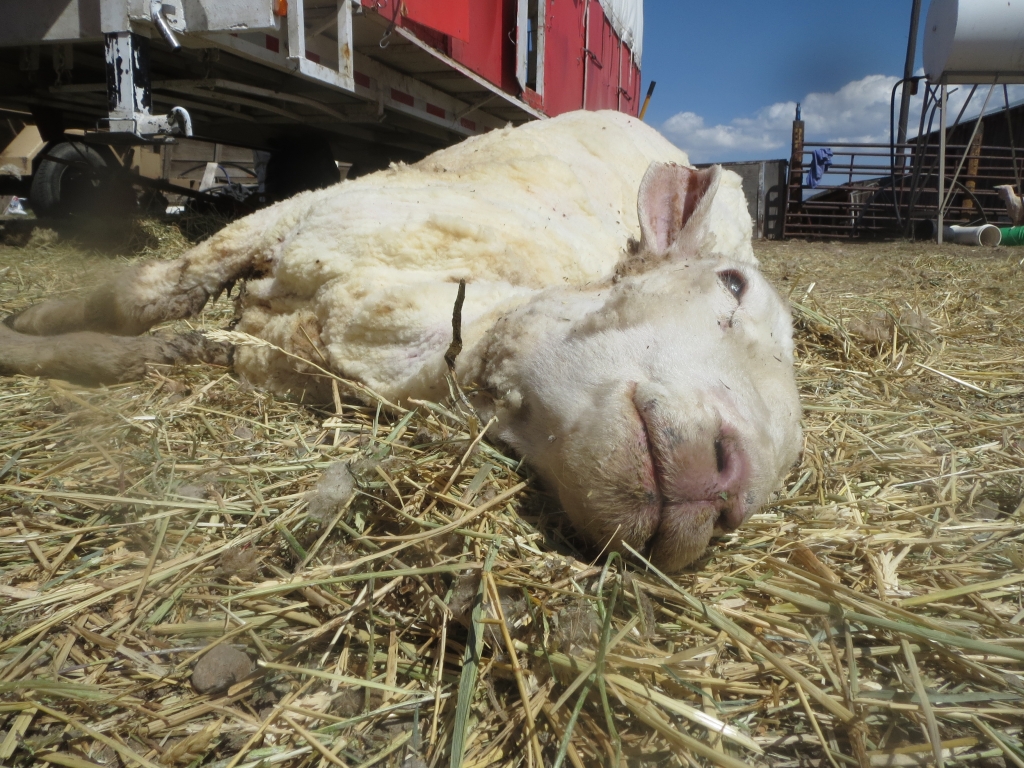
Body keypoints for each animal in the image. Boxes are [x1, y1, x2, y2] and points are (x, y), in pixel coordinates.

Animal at [0, 109, 802, 573]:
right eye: (733, 285)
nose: (726, 489)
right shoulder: (284, 218)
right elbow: (137, 296)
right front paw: (39, 320)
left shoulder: (266, 349)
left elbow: (166, 339)